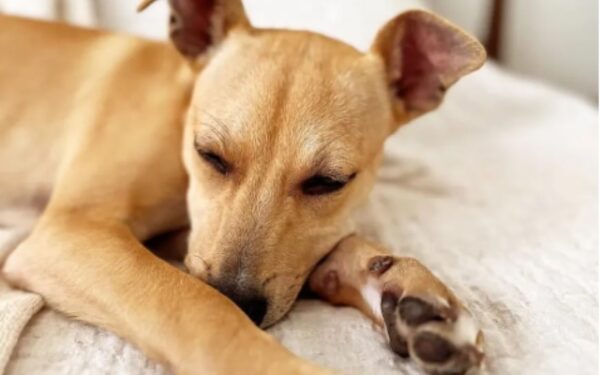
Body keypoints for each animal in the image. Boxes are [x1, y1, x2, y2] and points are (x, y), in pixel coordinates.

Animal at [0, 1, 488, 374]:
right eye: (209, 154)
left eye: (328, 182)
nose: (238, 297)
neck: (183, 104)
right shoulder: (73, 229)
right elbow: (200, 307)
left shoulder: (193, 233)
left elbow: (337, 246)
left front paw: (401, 289)